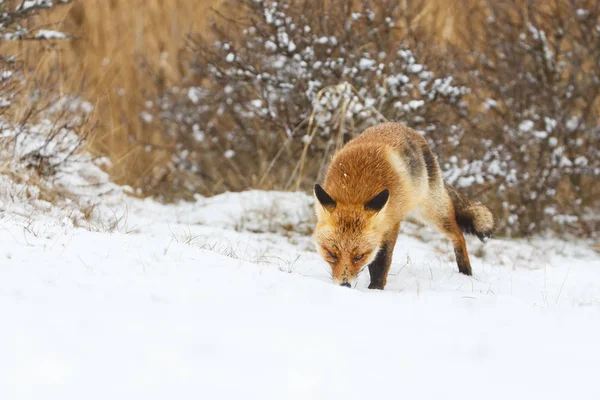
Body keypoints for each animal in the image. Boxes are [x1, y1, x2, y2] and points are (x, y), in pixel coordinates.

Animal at [314, 120, 492, 290]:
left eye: (359, 256)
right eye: (331, 253)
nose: (344, 285)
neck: (354, 189)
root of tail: (412, 132)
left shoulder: (391, 223)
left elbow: (381, 261)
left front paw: (375, 289)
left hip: (432, 213)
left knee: (458, 234)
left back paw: (465, 271)